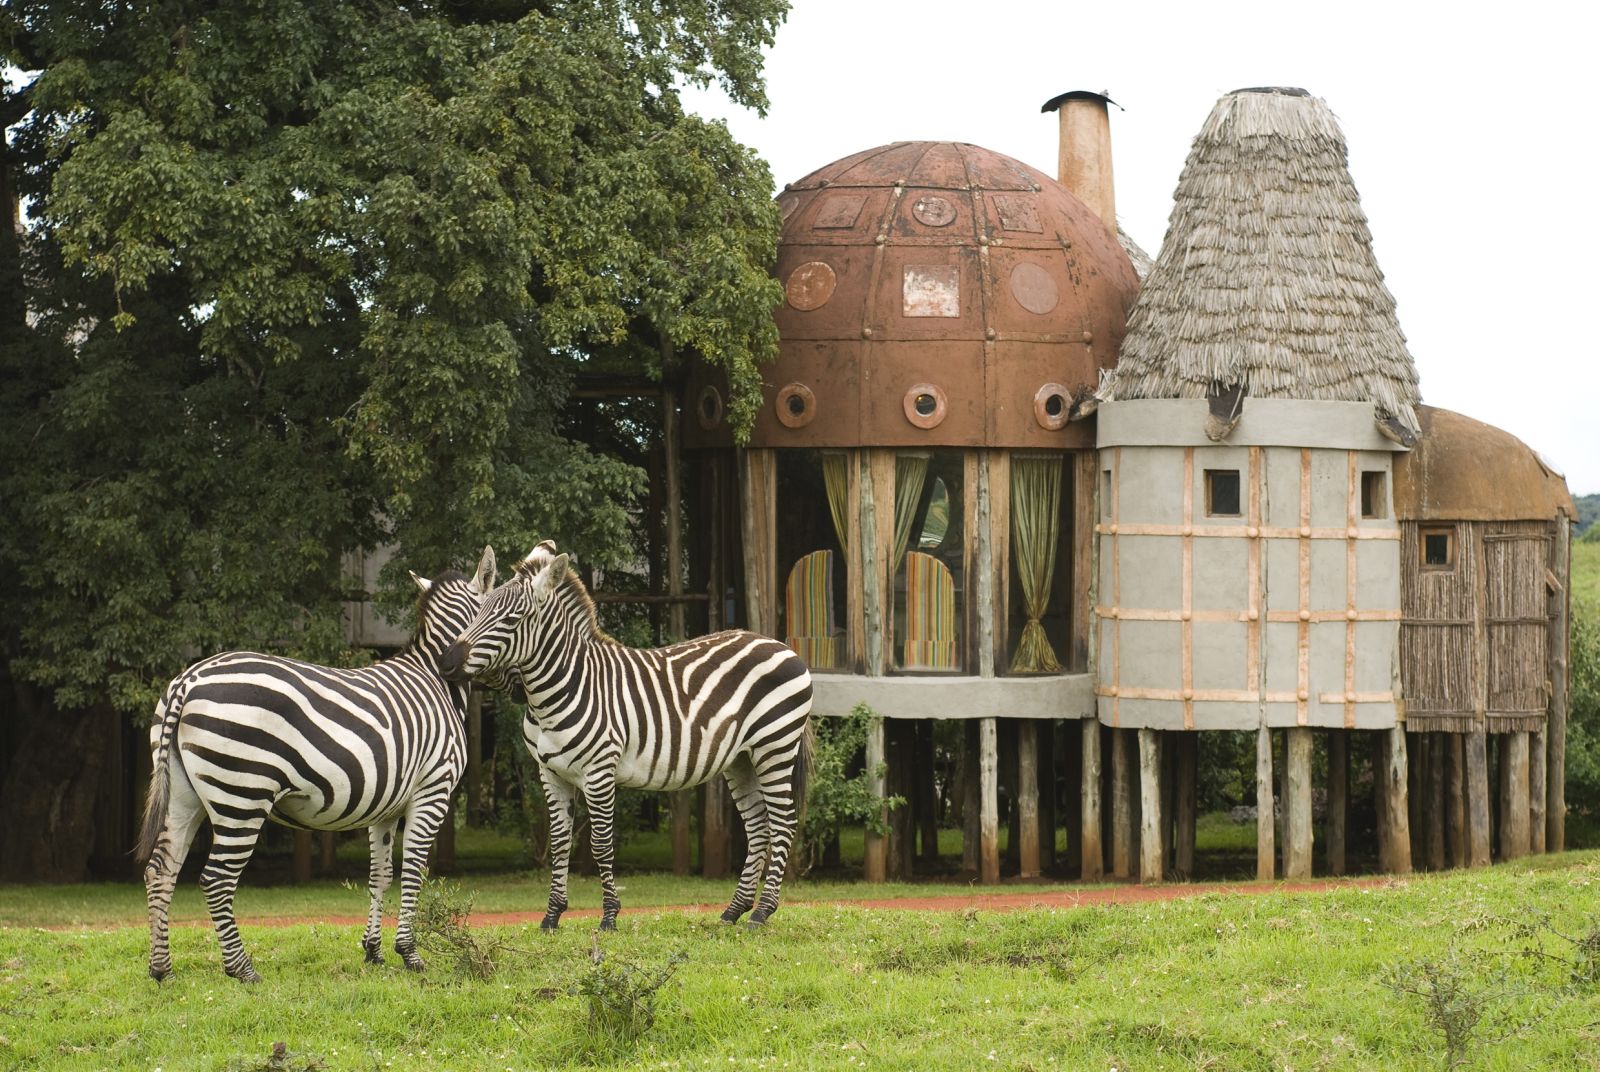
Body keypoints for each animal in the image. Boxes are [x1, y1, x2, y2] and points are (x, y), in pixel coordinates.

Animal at [137, 546, 497, 983]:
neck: (436, 680)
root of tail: (188, 680)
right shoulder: (433, 789)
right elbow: (412, 869)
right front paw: (410, 954)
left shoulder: (385, 806)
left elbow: (380, 875)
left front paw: (373, 951)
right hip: (243, 794)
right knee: (217, 879)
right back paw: (243, 969)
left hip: (183, 794)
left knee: (161, 870)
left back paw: (162, 970)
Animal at [438, 541, 813, 931]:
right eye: (477, 611)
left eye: (512, 620)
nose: (447, 662)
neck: (564, 686)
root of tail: (779, 645)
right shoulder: (550, 773)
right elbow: (559, 843)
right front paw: (552, 915)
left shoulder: (599, 770)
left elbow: (601, 844)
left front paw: (608, 916)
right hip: (741, 759)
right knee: (759, 827)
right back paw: (733, 911)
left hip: (774, 748)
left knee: (783, 824)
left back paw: (761, 912)